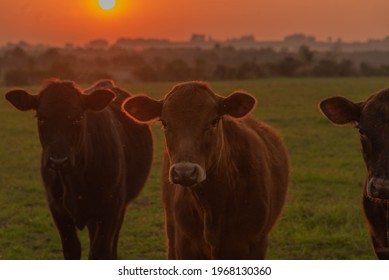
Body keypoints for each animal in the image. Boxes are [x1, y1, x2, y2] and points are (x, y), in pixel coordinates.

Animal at [5, 79, 153, 260]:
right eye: (41, 118)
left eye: (78, 118)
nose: (58, 160)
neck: (75, 180)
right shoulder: (57, 209)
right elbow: (72, 249)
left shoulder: (111, 208)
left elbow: (100, 252)